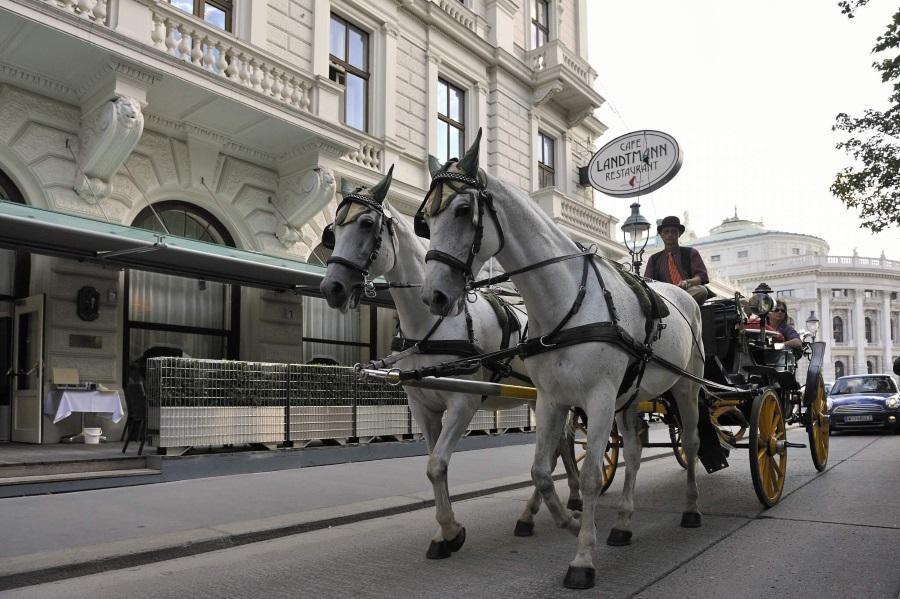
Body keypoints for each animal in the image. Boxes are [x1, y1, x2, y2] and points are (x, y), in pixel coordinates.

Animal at [318, 170, 584, 564]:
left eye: (366, 223)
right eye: (333, 230)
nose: (331, 287)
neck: (431, 325)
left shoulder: (463, 403)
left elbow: (438, 463)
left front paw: (450, 530)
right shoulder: (423, 406)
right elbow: (432, 465)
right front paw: (445, 531)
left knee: (552, 451)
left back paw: (537, 511)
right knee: (561, 444)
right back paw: (565, 500)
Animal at [418, 132, 708, 592]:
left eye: (463, 210)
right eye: (425, 219)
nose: (435, 296)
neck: (568, 299)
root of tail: (686, 298)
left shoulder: (600, 398)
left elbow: (588, 476)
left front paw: (583, 557)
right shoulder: (552, 399)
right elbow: (541, 469)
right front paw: (570, 522)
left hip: (686, 387)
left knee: (693, 442)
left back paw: (691, 509)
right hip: (630, 397)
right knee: (635, 451)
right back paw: (623, 522)